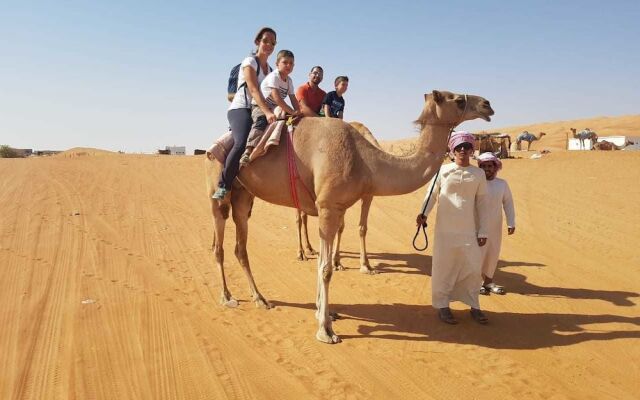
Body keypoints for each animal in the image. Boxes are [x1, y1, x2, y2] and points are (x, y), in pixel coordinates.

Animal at [298, 120, 382, 274]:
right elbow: (340, 226)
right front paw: (336, 261)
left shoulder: (366, 195)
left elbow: (359, 228)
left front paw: (364, 265)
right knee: (298, 219)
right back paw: (301, 253)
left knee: (303, 216)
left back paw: (310, 249)